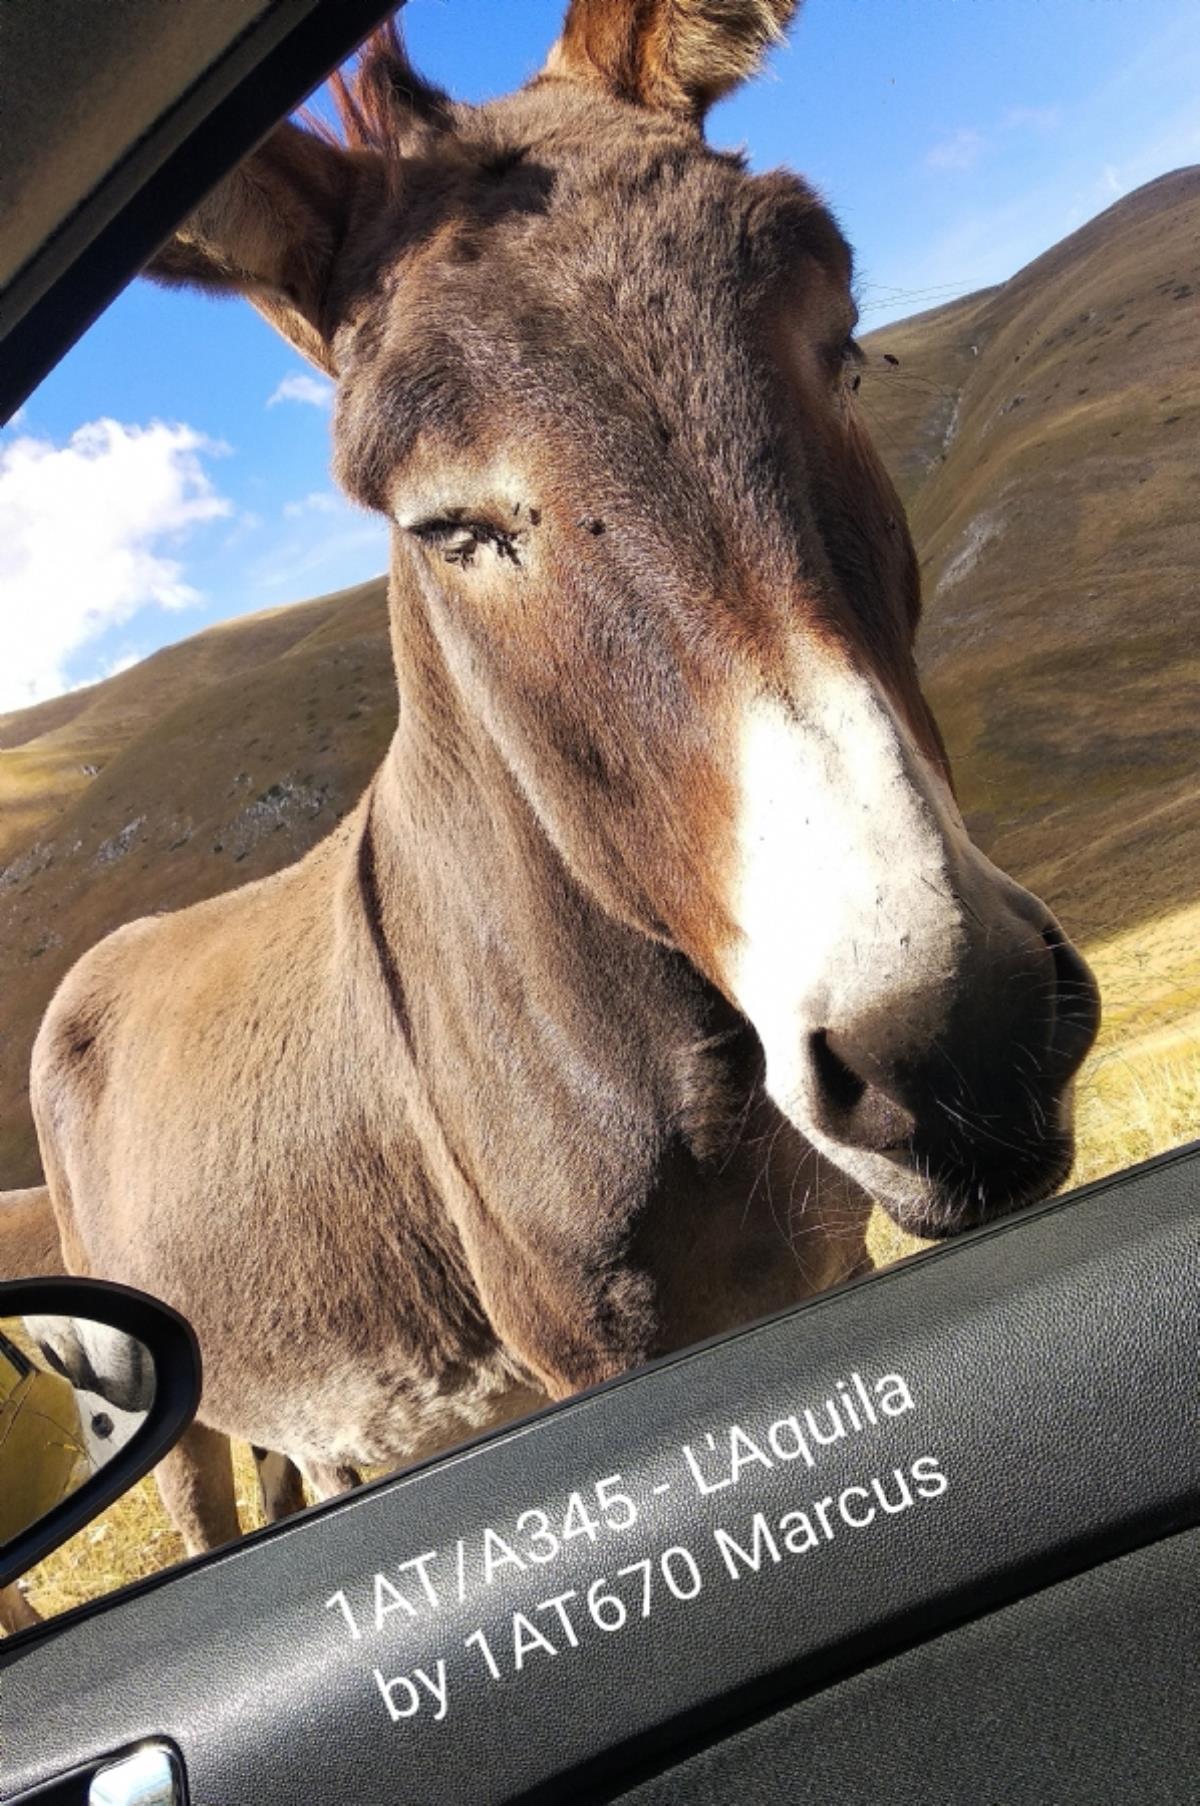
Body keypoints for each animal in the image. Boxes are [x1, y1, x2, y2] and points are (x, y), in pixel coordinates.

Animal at [27, 0, 1099, 1560]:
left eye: (846, 350)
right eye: (448, 528)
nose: (956, 1039)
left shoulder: (827, 1257)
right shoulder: (589, 1348)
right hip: (169, 1414)